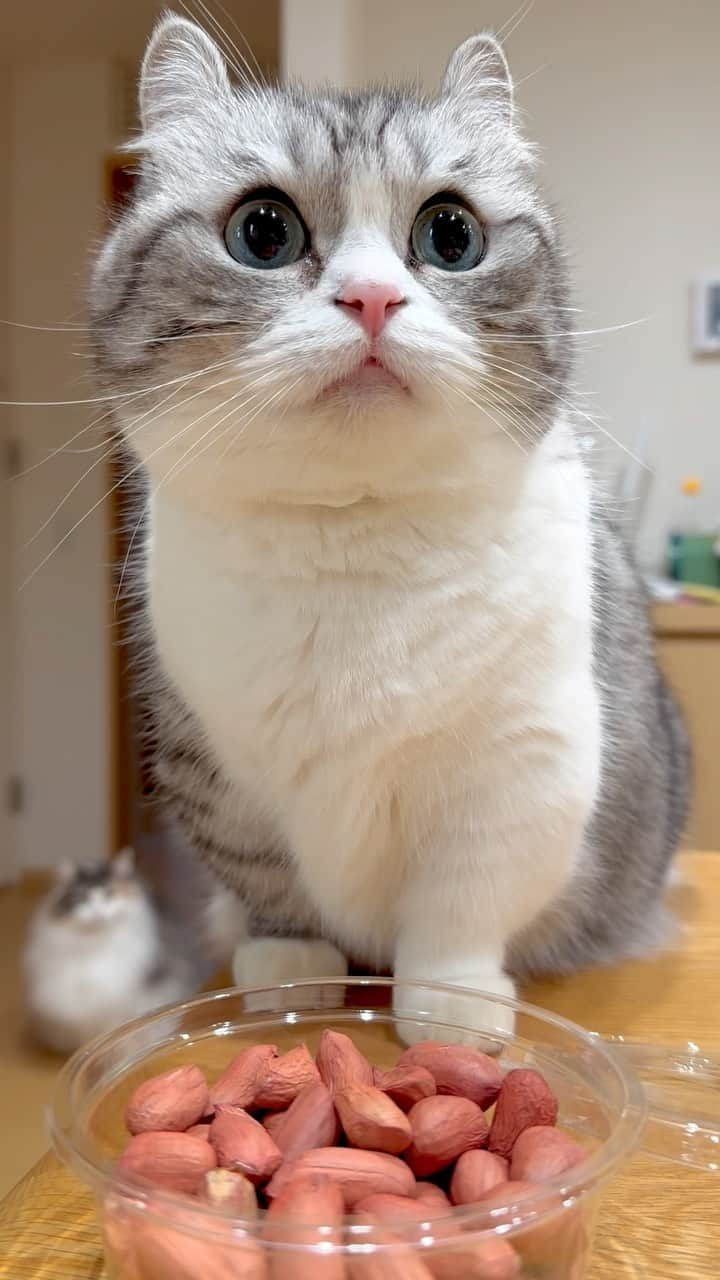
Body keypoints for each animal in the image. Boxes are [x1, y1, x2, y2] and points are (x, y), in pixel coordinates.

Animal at [87, 17, 686, 1039]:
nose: (372, 298)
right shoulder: (215, 767)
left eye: (450, 233)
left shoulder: (524, 758)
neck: (352, 536)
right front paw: (290, 967)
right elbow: (266, 879)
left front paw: (451, 1007)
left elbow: (460, 901)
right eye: (263, 230)